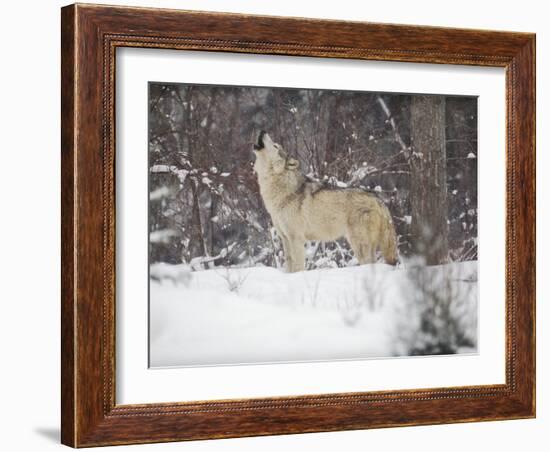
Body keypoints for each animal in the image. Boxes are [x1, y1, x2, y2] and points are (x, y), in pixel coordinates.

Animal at [252, 129, 398, 274]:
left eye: (275, 146)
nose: (263, 131)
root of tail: (378, 200)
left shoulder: (296, 238)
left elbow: (298, 268)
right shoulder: (285, 239)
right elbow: (289, 267)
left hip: (359, 245)